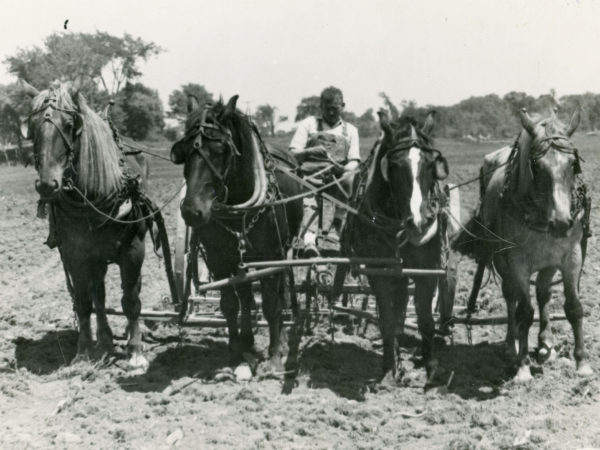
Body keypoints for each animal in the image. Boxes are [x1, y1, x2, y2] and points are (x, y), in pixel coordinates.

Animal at [19, 80, 163, 370]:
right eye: (34, 125)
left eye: (69, 124)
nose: (47, 184)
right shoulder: (75, 255)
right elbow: (85, 302)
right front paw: (84, 351)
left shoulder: (133, 252)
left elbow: (131, 301)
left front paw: (135, 352)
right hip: (95, 257)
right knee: (99, 294)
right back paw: (105, 341)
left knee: (131, 291)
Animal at [170, 96, 304, 376]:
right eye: (183, 152)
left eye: (221, 151)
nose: (191, 211)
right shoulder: (219, 259)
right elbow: (231, 304)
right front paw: (235, 350)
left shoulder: (271, 257)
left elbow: (271, 305)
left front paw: (275, 355)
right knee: (245, 295)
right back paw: (248, 341)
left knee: (281, 292)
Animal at [342, 111, 450, 384]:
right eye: (394, 166)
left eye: (430, 164)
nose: (419, 222)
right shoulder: (379, 271)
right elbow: (388, 321)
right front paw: (390, 369)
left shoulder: (428, 269)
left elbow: (425, 320)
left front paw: (432, 370)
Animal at [454, 107, 592, 382]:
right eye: (536, 166)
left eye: (573, 164)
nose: (561, 223)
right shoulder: (517, 261)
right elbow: (524, 312)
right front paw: (523, 366)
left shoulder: (571, 256)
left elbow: (574, 308)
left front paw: (582, 363)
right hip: (501, 260)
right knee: (511, 298)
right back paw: (512, 345)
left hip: (548, 261)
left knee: (543, 292)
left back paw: (546, 343)